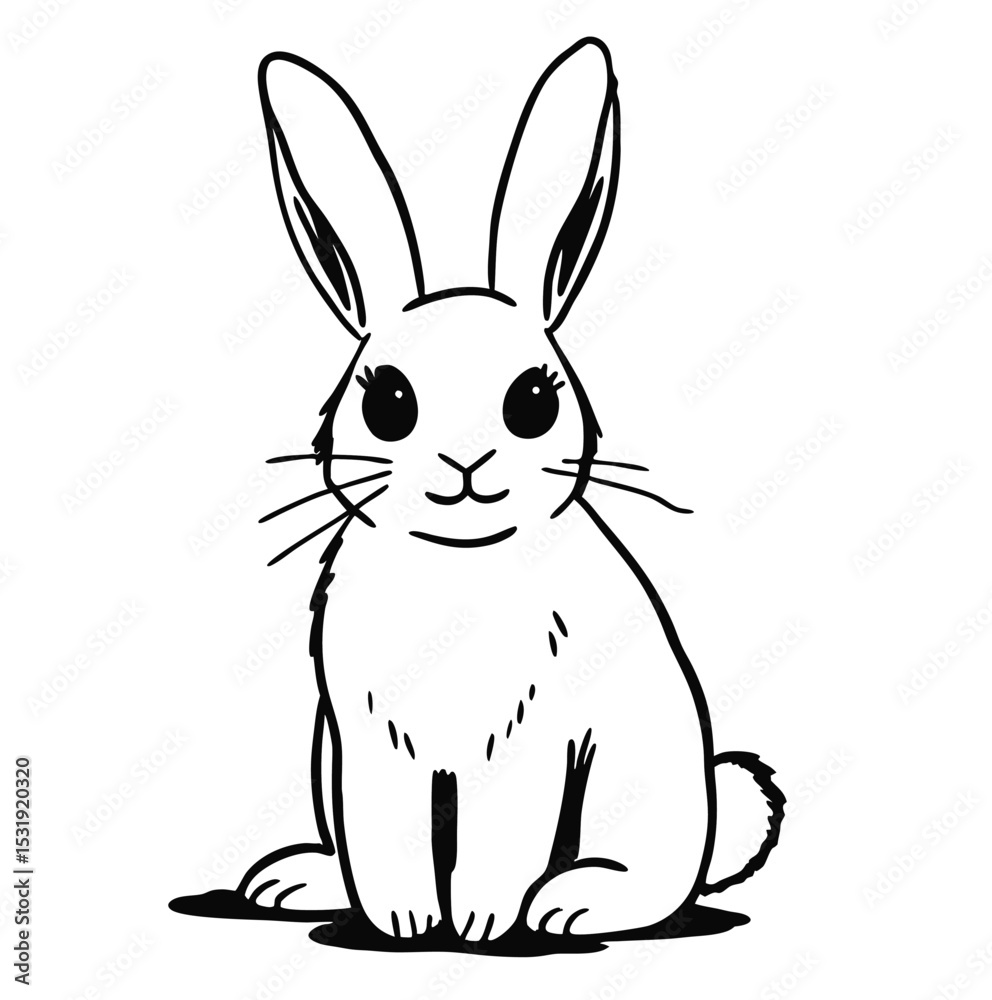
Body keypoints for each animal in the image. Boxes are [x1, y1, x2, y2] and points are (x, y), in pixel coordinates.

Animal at [171, 38, 784, 953]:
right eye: (389, 402)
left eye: (532, 400)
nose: (466, 461)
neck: (455, 570)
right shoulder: (365, 747)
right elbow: (383, 840)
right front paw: (403, 924)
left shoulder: (527, 745)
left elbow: (504, 841)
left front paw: (483, 925)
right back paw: (299, 881)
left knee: (654, 884)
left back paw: (573, 902)